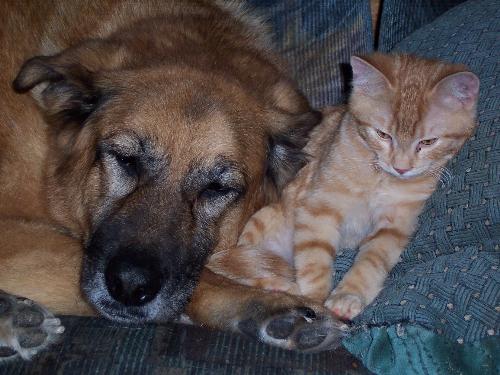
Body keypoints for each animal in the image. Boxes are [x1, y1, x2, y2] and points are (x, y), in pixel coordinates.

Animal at [208, 53, 480, 320]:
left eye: (428, 142)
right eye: (383, 134)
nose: (401, 168)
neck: (380, 177)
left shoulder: (395, 226)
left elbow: (372, 261)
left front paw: (349, 295)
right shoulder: (319, 208)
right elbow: (315, 259)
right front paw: (313, 299)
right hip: (261, 224)